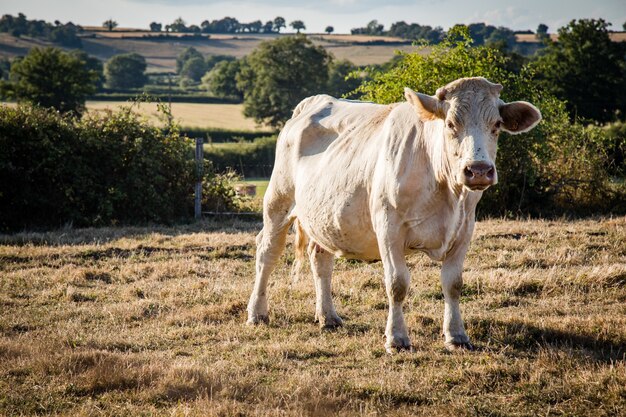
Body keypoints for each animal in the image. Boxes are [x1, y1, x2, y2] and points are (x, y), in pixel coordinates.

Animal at [246, 76, 540, 350]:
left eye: (497, 125)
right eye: (450, 124)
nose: (478, 170)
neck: (443, 188)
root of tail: (315, 101)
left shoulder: (464, 228)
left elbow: (453, 283)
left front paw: (456, 336)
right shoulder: (389, 228)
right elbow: (397, 283)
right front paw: (397, 338)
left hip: (324, 215)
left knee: (320, 259)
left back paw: (328, 316)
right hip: (278, 201)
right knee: (267, 253)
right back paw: (257, 313)